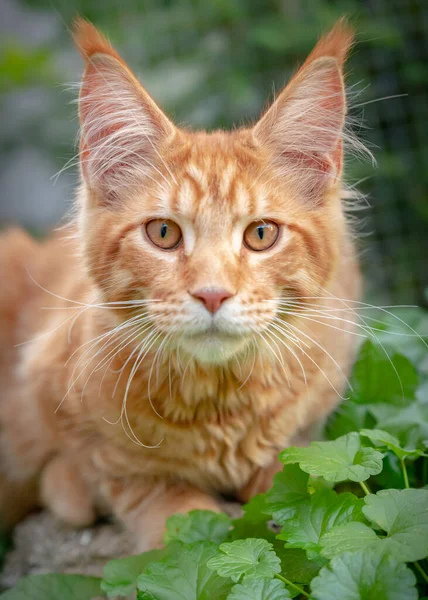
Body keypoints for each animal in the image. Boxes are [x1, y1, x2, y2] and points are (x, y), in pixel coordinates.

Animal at [0, 18, 362, 552]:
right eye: (164, 233)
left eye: (261, 234)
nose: (212, 293)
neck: (219, 407)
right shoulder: (43, 381)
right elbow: (141, 490)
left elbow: (299, 467)